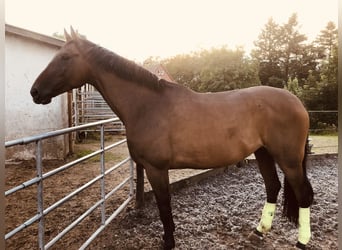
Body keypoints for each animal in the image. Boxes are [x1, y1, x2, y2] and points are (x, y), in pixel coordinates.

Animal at [31, 28, 312, 248]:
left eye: (65, 57)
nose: (34, 92)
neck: (147, 105)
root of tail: (297, 102)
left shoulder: (156, 168)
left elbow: (164, 207)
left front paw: (168, 242)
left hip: (288, 159)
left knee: (304, 194)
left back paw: (302, 241)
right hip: (263, 152)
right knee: (273, 187)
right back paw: (259, 231)